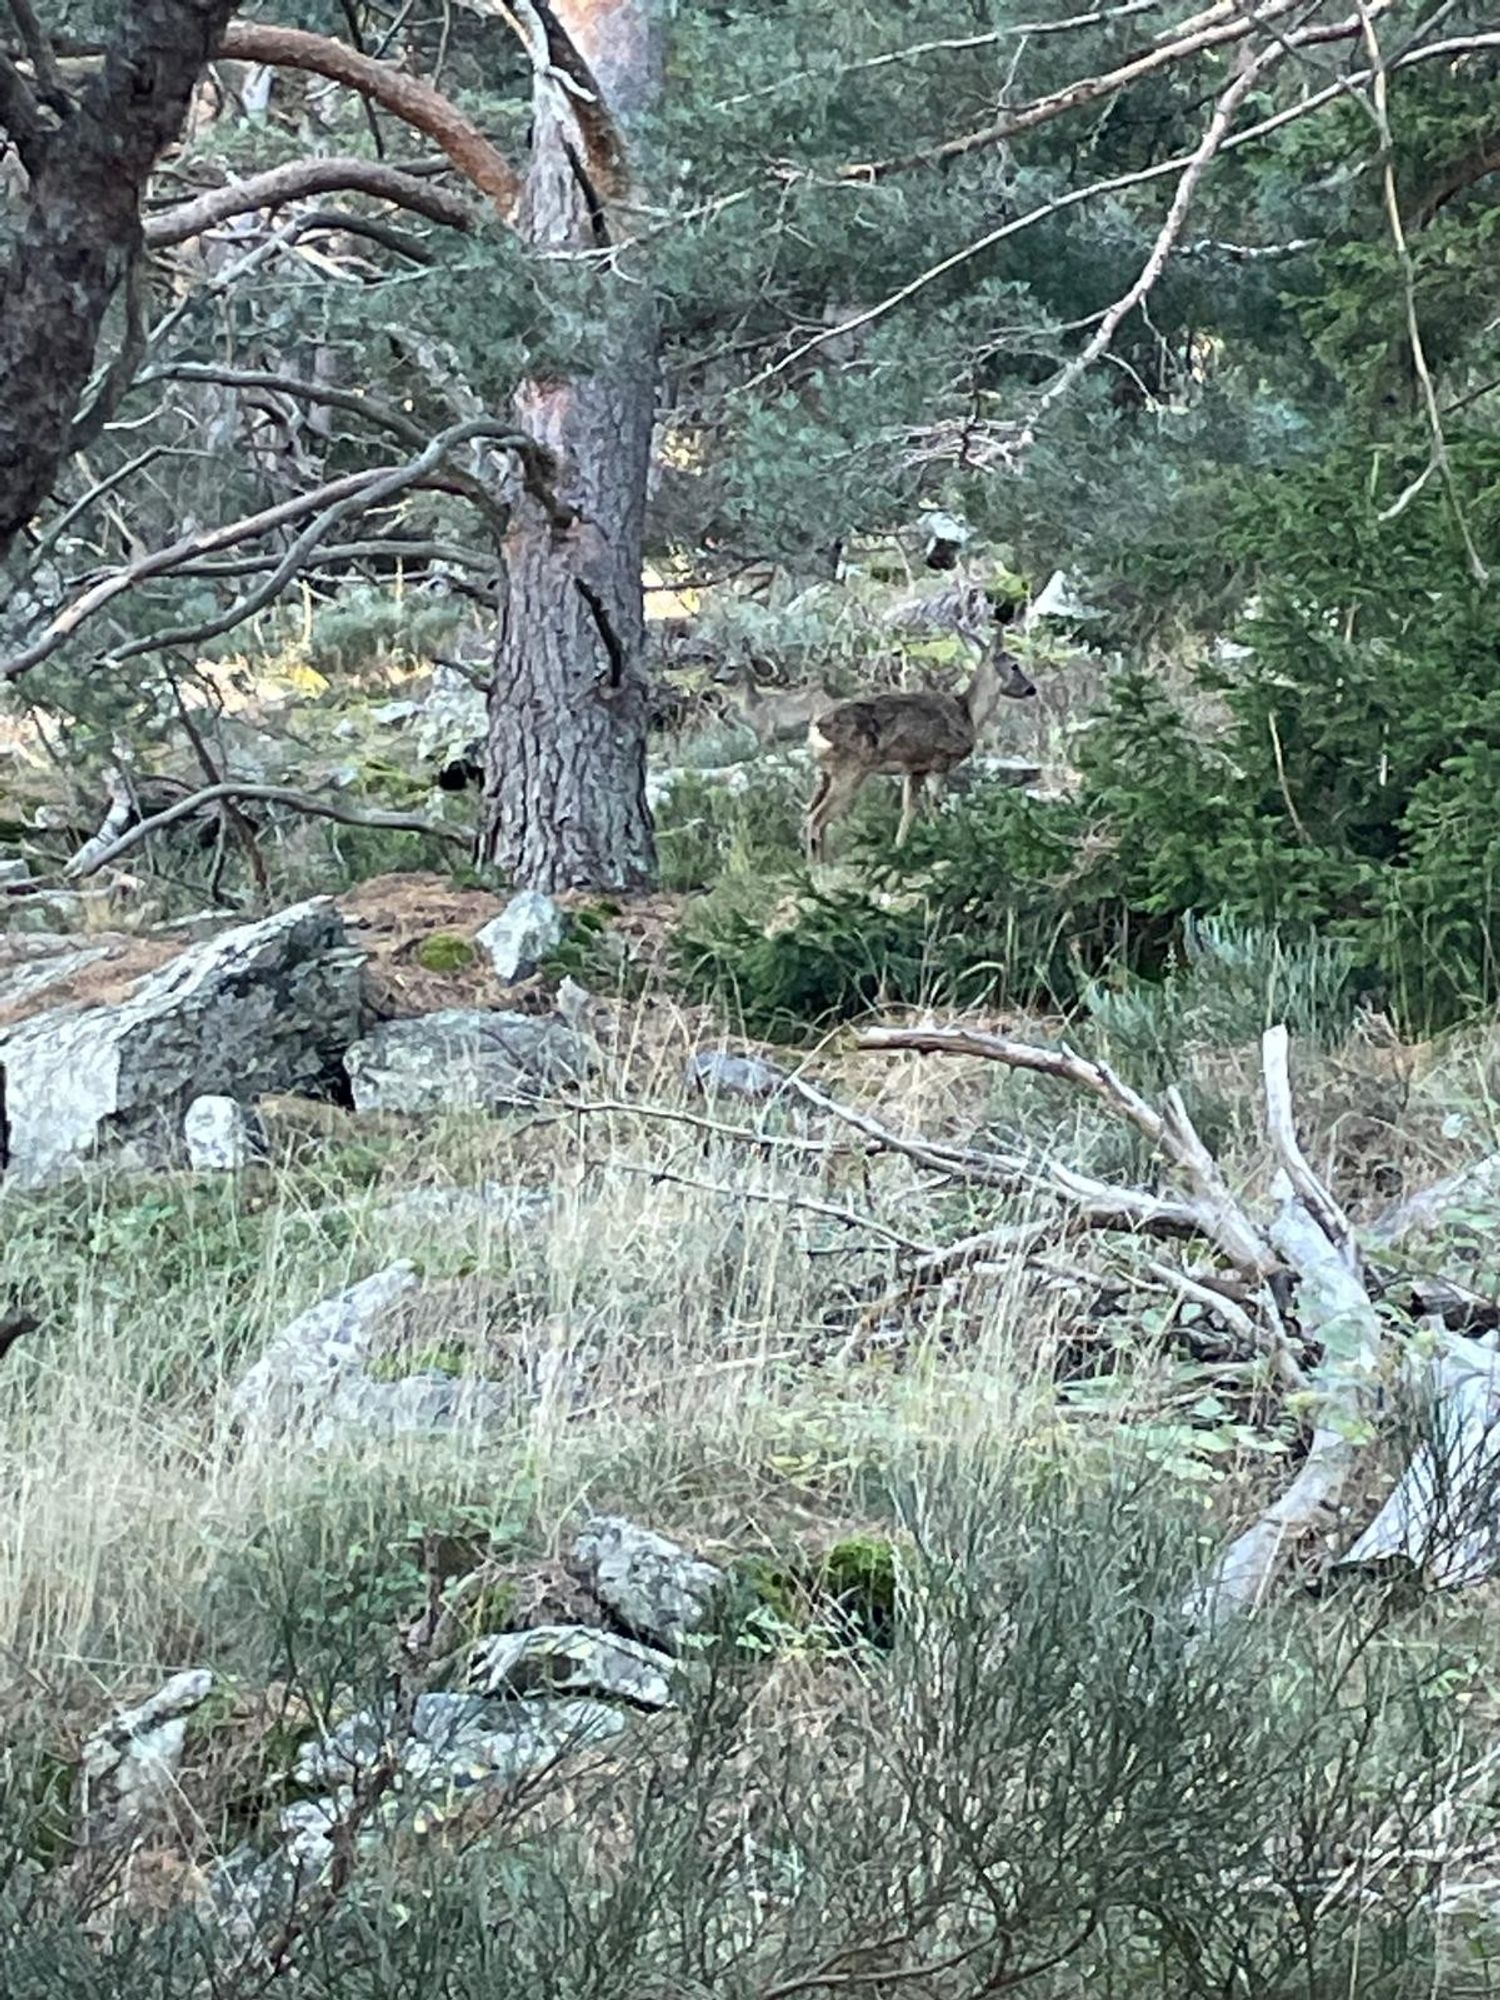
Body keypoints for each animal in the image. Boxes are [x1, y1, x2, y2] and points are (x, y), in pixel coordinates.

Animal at [804, 608, 1040, 860]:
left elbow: (910, 809)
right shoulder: (940, 761)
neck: (968, 713)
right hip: (849, 769)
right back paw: (819, 868)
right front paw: (946, 843)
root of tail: (816, 729)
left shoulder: (915, 768)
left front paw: (899, 848)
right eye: (1015, 666)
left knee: (810, 814)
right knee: (817, 818)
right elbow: (935, 805)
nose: (1031, 689)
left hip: (825, 773)